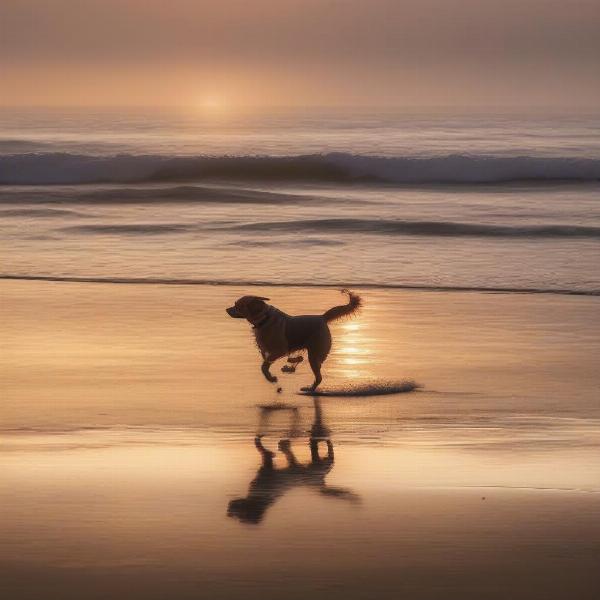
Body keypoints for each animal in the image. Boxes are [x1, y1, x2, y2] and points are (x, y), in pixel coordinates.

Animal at [227, 290, 360, 392]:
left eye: (237, 306)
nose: (227, 309)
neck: (264, 319)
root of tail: (322, 317)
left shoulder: (280, 350)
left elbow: (264, 367)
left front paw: (271, 378)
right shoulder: (268, 351)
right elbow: (267, 363)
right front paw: (275, 374)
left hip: (314, 354)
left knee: (319, 377)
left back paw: (309, 389)